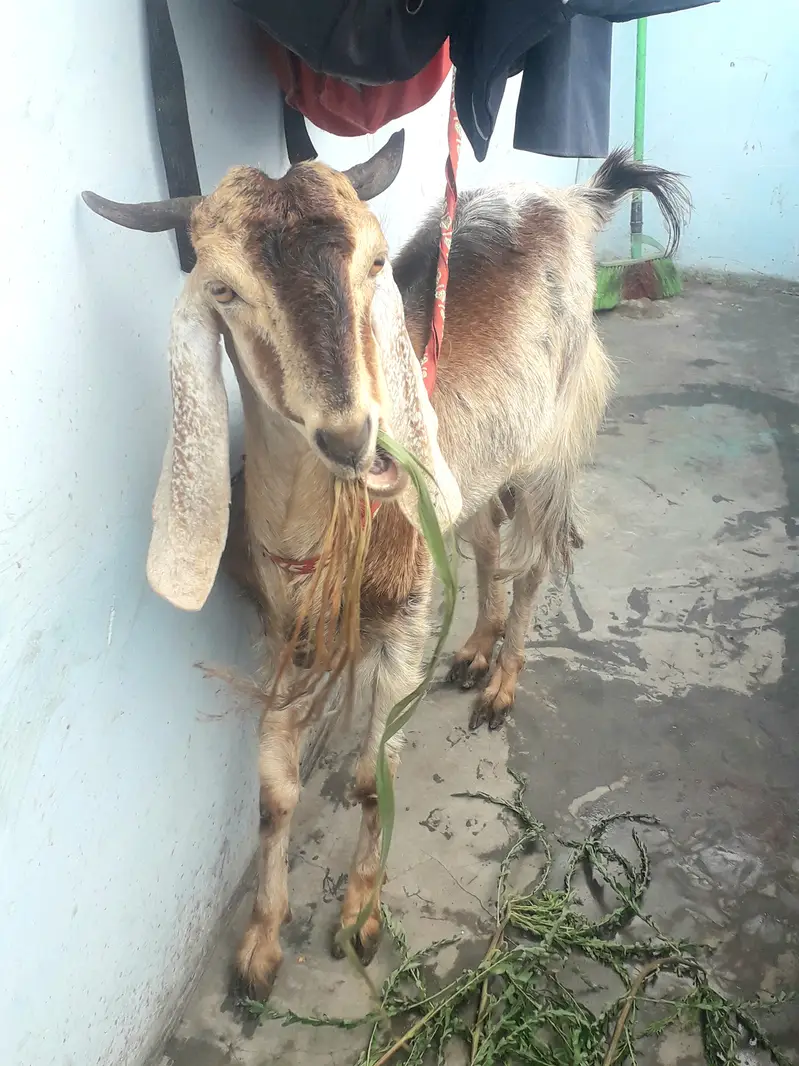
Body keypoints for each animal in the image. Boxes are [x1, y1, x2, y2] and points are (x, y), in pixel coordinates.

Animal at [83, 137, 688, 999]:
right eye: (223, 288)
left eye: (374, 262)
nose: (351, 435)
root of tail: (572, 201)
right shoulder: (283, 636)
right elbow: (273, 796)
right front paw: (259, 950)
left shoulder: (403, 622)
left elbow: (372, 779)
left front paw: (360, 918)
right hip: (475, 476)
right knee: (488, 545)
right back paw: (473, 653)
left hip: (554, 438)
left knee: (535, 564)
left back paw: (502, 684)